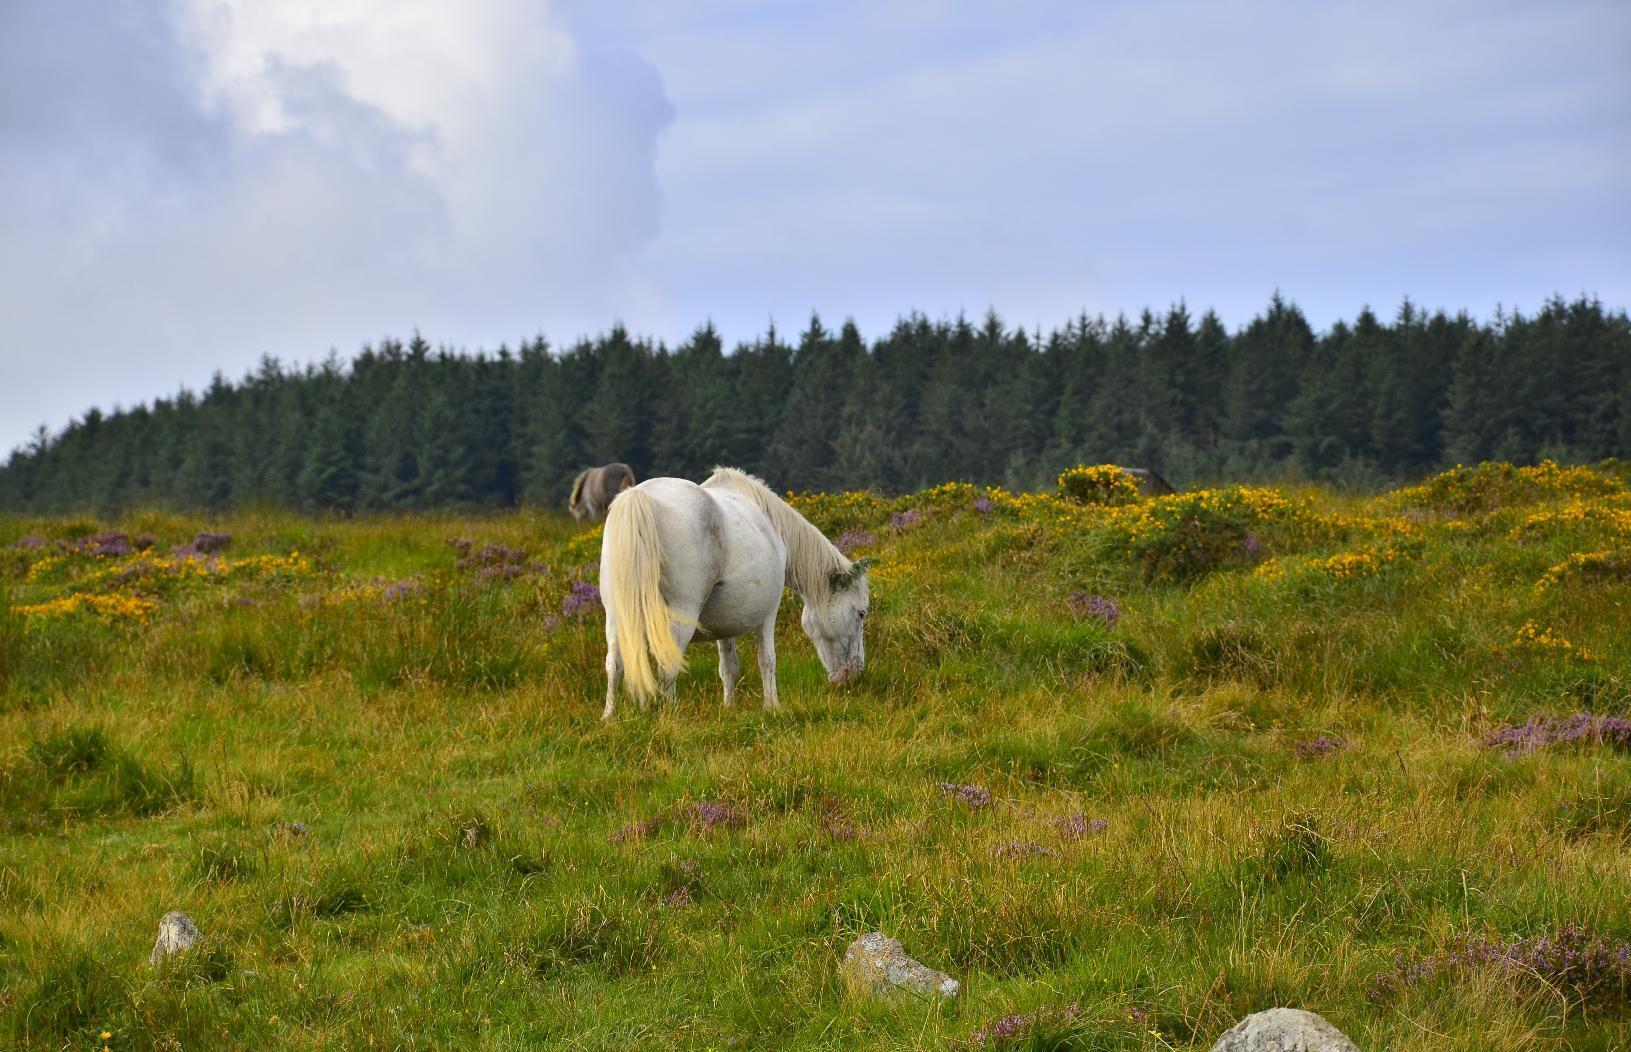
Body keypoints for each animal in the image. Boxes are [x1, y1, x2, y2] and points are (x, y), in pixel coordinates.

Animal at [600, 466, 874, 717]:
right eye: (861, 613)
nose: (857, 674)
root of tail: (639, 496)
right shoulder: (769, 613)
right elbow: (767, 660)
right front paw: (772, 706)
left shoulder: (724, 625)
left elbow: (728, 667)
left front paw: (728, 707)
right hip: (679, 616)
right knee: (668, 666)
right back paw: (671, 715)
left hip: (615, 616)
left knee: (614, 664)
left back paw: (609, 717)